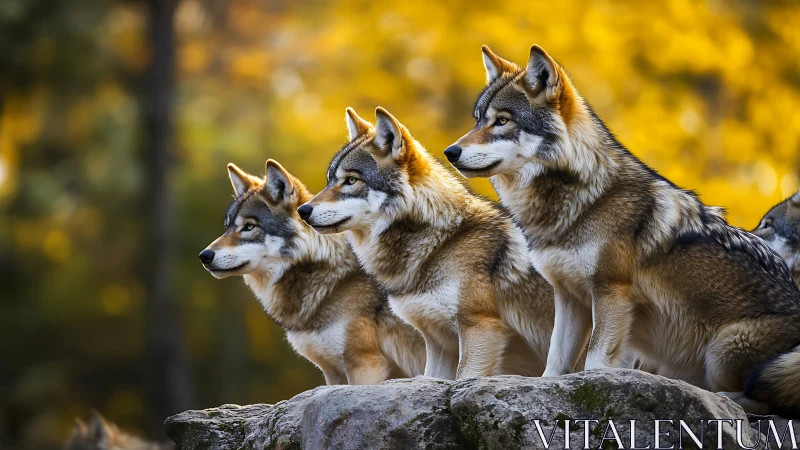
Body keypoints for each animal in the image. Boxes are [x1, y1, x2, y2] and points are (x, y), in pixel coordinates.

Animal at [199, 160, 425, 385]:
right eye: (227, 227)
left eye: (249, 227)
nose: (204, 255)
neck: (331, 282)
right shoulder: (332, 373)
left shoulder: (365, 364)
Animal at [298, 106, 555, 380]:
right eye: (329, 180)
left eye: (351, 181)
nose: (303, 210)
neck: (440, 242)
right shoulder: (438, 342)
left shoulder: (480, 327)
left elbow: (463, 378)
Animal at [444, 44, 800, 415]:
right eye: (477, 119)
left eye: (502, 120)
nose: (449, 152)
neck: (584, 198)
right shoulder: (568, 297)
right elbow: (555, 362)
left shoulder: (611, 291)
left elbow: (595, 362)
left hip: (723, 349)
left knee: (764, 397)